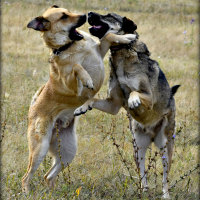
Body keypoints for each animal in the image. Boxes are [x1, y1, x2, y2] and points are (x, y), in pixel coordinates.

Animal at [74, 12, 180, 198]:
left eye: (109, 15)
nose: (89, 14)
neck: (122, 54)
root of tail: (151, 134)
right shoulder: (113, 104)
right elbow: (92, 99)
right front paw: (82, 107)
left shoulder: (148, 98)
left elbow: (133, 92)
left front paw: (133, 100)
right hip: (138, 149)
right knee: (143, 175)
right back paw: (143, 192)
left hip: (165, 147)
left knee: (165, 178)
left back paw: (165, 195)